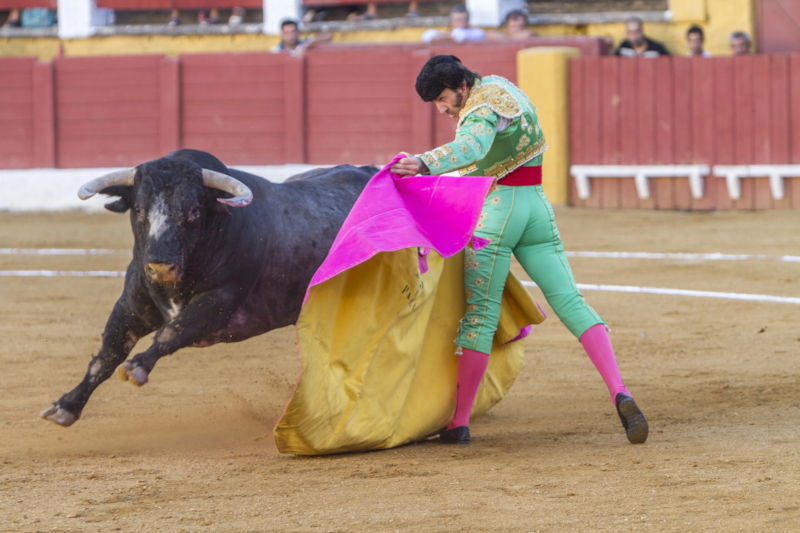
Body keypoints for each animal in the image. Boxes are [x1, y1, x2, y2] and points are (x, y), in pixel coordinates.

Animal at [40, 149, 376, 427]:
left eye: (193, 211)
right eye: (138, 210)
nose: (160, 268)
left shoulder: (218, 303)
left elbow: (171, 332)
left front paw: (137, 366)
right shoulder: (132, 305)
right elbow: (106, 356)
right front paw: (66, 405)